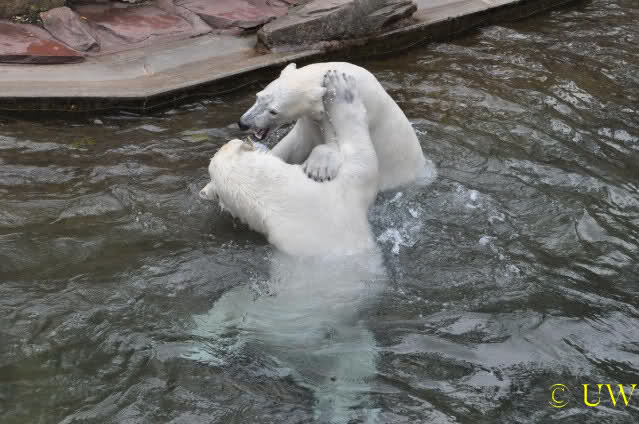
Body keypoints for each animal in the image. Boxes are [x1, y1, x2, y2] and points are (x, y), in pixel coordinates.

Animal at [238, 61, 435, 191]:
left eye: (273, 111)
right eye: (258, 96)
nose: (243, 123)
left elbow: (339, 144)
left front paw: (318, 167)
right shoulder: (309, 122)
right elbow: (295, 144)